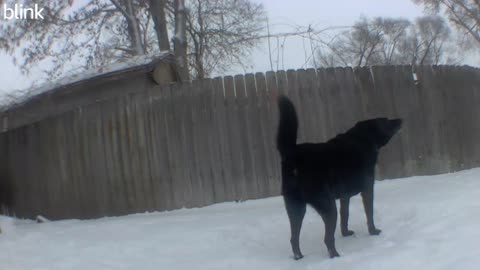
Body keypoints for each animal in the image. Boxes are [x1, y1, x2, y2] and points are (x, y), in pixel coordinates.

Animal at [276, 95, 404, 260]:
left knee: (293, 238)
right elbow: (369, 213)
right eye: (386, 121)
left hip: (295, 207)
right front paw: (373, 231)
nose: (400, 119)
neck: (363, 138)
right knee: (327, 238)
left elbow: (345, 214)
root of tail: (291, 155)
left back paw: (299, 257)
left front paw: (346, 233)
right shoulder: (367, 188)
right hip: (328, 206)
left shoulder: (345, 196)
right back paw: (335, 256)